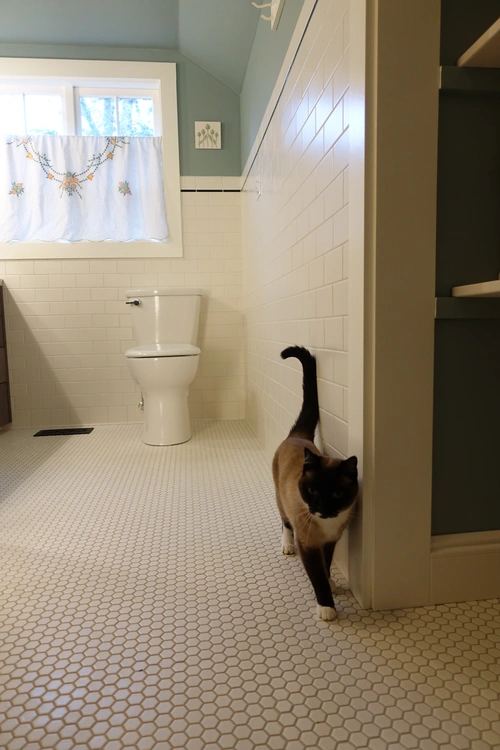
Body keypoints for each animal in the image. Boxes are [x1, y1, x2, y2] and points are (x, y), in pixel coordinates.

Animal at [272, 345, 358, 621]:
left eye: (337, 493)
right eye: (311, 490)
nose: (320, 507)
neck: (327, 525)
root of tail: (298, 435)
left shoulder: (331, 542)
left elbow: (327, 564)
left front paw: (331, 581)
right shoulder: (308, 545)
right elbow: (317, 576)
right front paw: (327, 607)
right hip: (280, 500)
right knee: (285, 522)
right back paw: (287, 546)